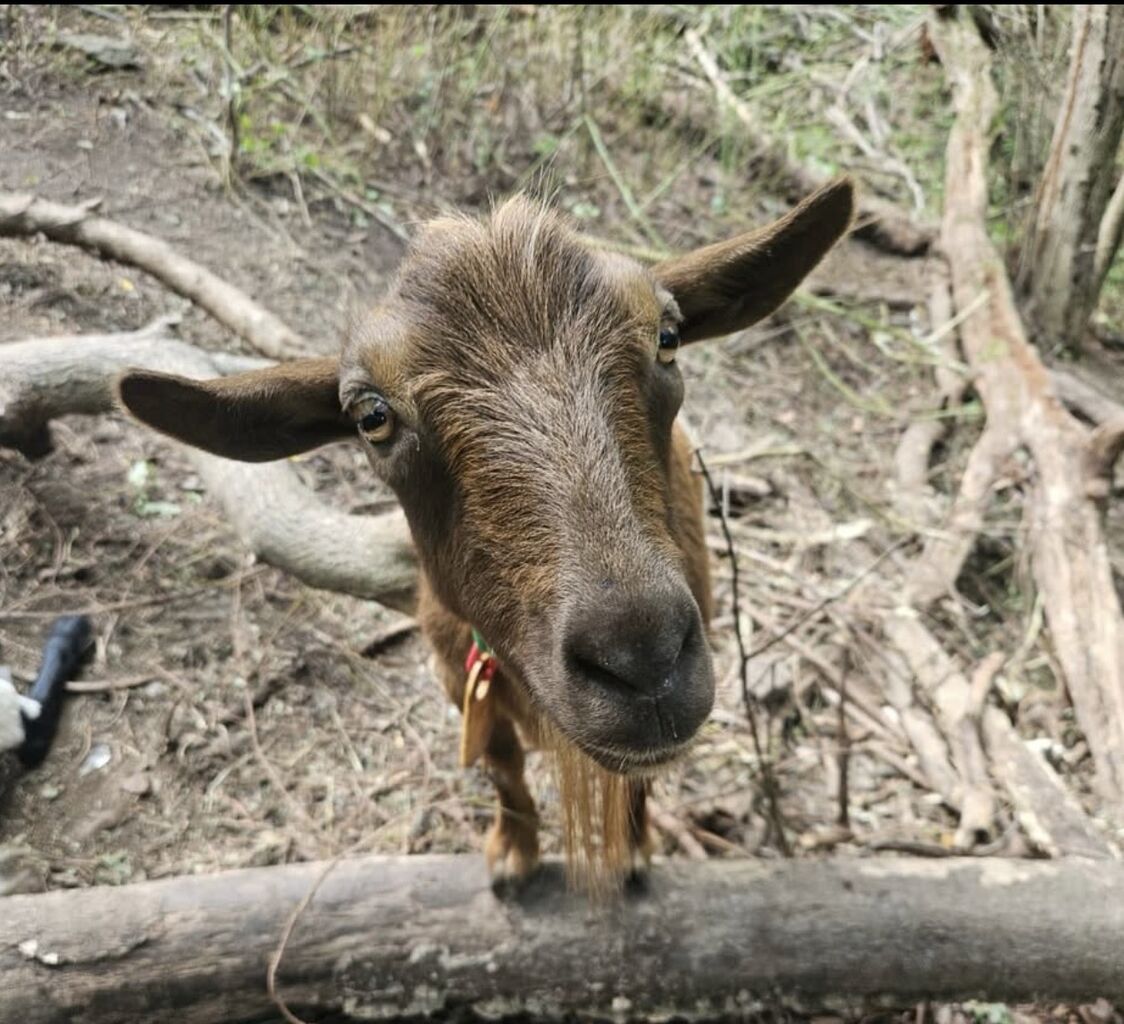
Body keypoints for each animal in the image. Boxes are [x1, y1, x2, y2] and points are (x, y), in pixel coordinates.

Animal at [117, 179, 854, 889]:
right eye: (371, 416)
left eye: (667, 338)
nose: (643, 660)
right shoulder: (457, 676)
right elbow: (503, 768)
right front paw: (513, 857)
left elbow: (637, 778)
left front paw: (634, 852)